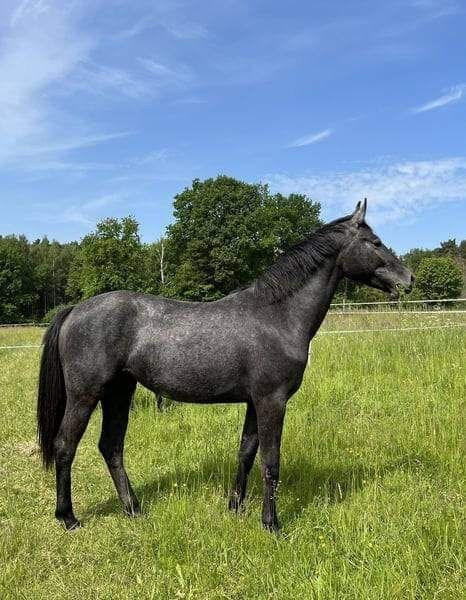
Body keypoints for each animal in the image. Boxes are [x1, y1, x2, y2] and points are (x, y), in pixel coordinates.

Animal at [37, 200, 416, 528]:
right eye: (375, 242)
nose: (409, 279)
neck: (277, 316)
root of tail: (75, 310)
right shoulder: (272, 401)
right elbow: (270, 461)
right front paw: (271, 523)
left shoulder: (254, 402)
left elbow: (246, 453)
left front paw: (235, 507)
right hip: (85, 395)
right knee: (65, 446)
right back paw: (68, 518)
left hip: (119, 392)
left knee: (111, 447)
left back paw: (134, 509)